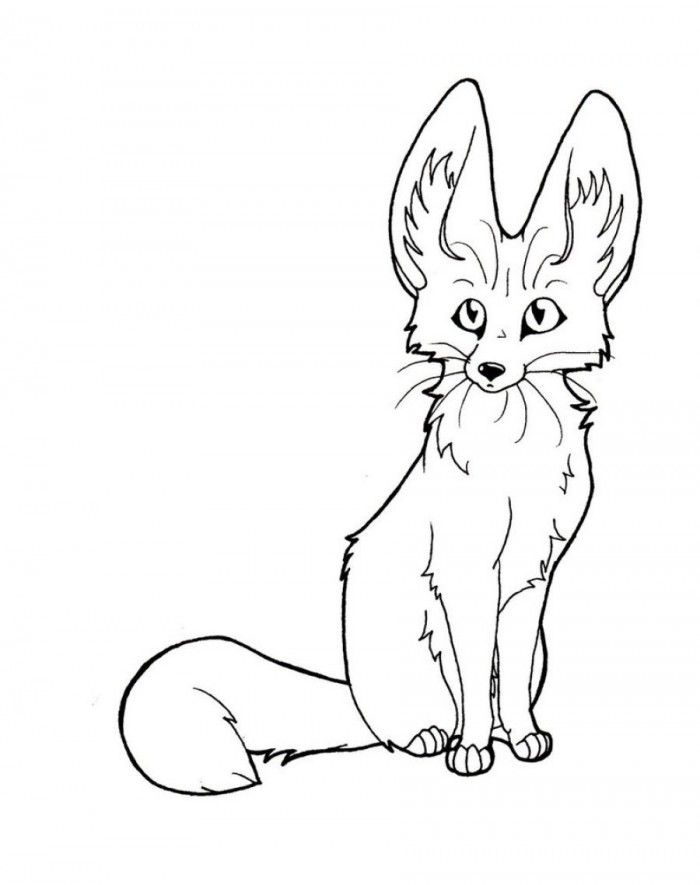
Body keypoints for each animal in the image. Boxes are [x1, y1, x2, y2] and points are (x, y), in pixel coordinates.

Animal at [119, 79, 641, 793]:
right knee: (404, 725)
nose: (490, 369)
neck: (512, 462)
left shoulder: (530, 578)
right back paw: (431, 737)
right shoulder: (464, 573)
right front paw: (473, 747)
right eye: (470, 314)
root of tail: (353, 698)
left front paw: (521, 736)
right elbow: (474, 679)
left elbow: (505, 680)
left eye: (541, 316)